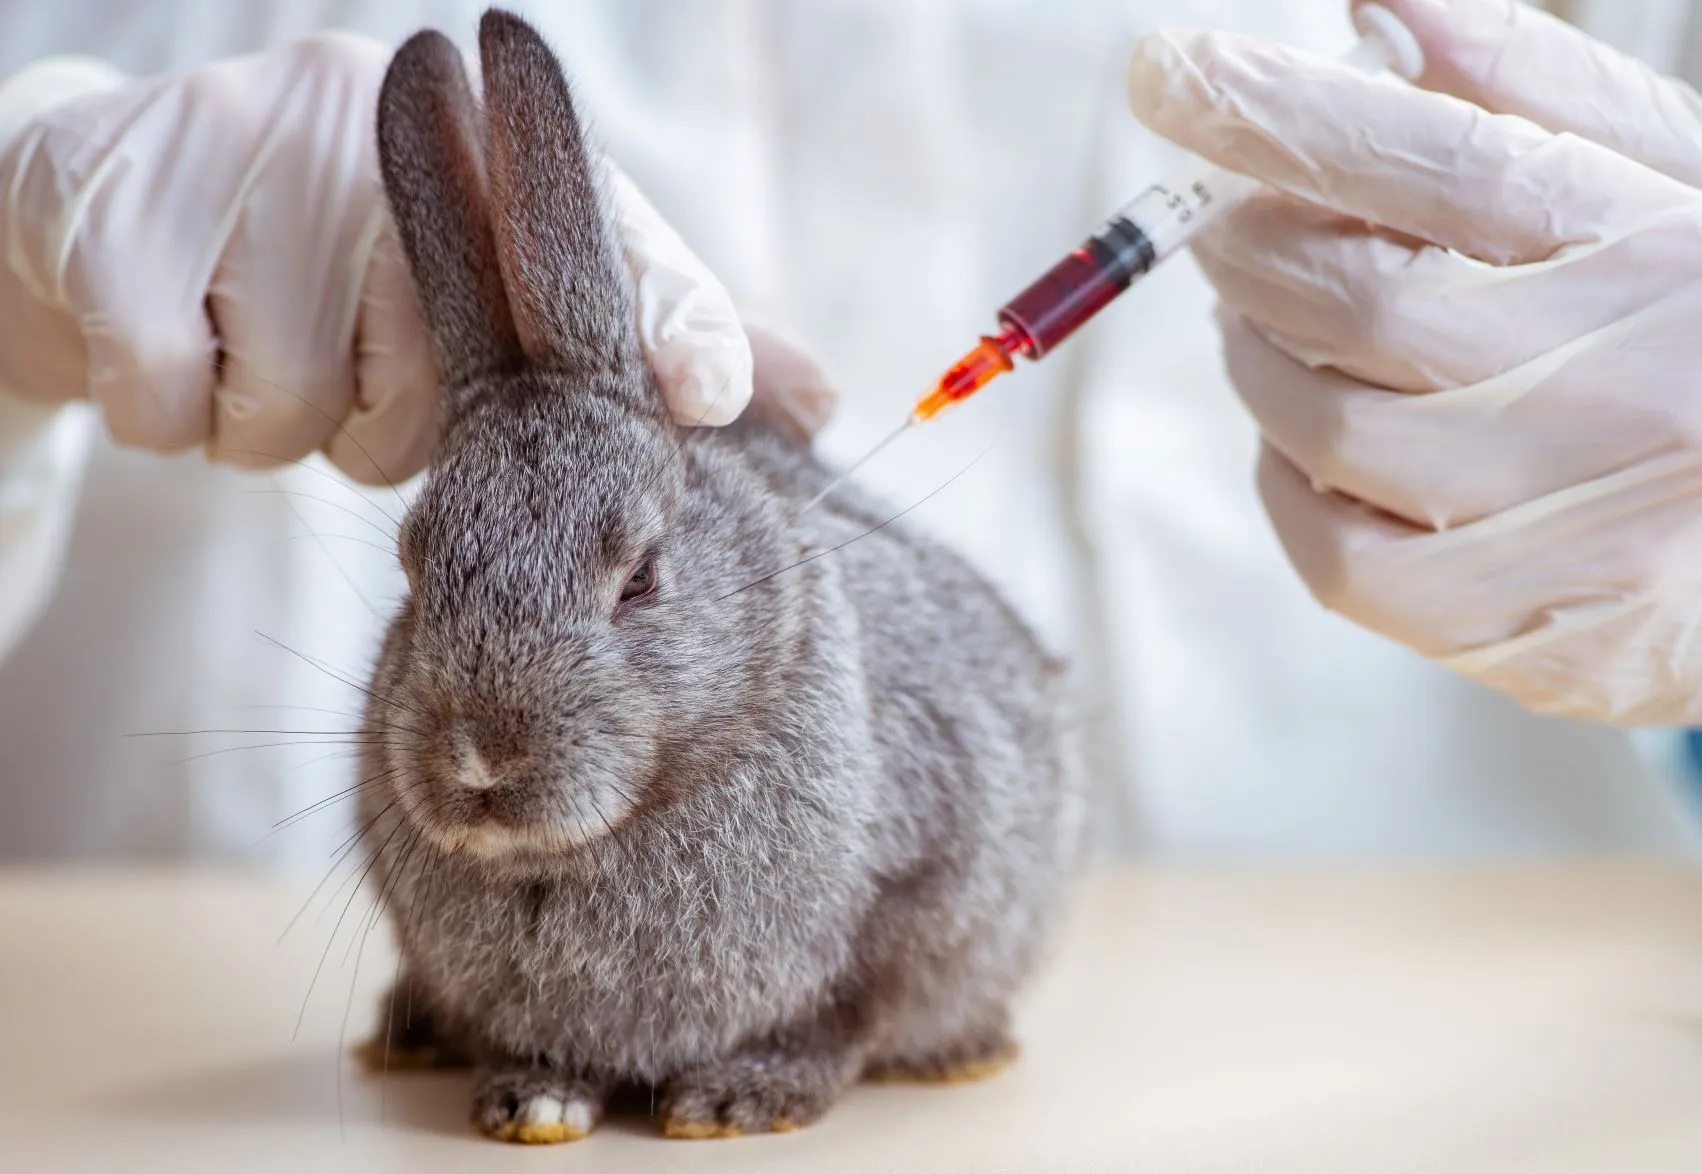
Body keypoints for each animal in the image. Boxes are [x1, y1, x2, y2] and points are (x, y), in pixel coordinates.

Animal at [352, 7, 1086, 1144]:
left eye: (640, 578)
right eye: (415, 570)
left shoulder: (931, 878)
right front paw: (533, 1099)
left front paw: (742, 1096)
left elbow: (852, 1011)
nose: (479, 762)